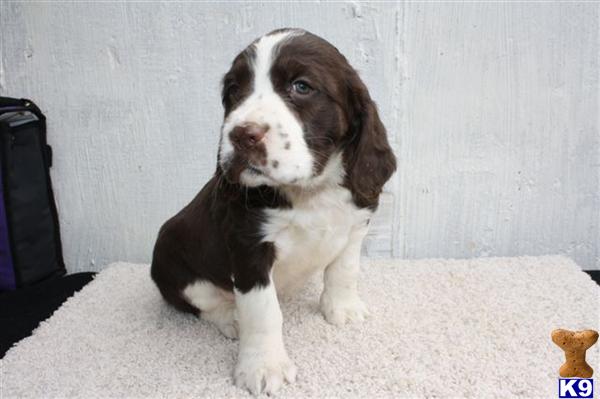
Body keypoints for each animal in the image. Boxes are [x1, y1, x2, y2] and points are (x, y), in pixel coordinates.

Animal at [150, 28, 396, 396]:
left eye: (302, 86)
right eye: (233, 91)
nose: (240, 135)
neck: (310, 191)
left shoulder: (356, 223)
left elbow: (344, 270)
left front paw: (342, 308)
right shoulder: (249, 247)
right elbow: (263, 311)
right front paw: (263, 367)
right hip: (170, 258)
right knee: (203, 302)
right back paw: (231, 318)